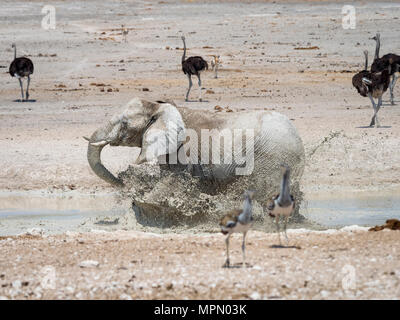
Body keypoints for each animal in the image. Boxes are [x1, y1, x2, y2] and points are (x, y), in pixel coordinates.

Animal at [86, 97, 304, 228]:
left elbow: (174, 182)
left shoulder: (182, 152)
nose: (121, 181)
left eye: (124, 123)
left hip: (272, 159)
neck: (160, 106)